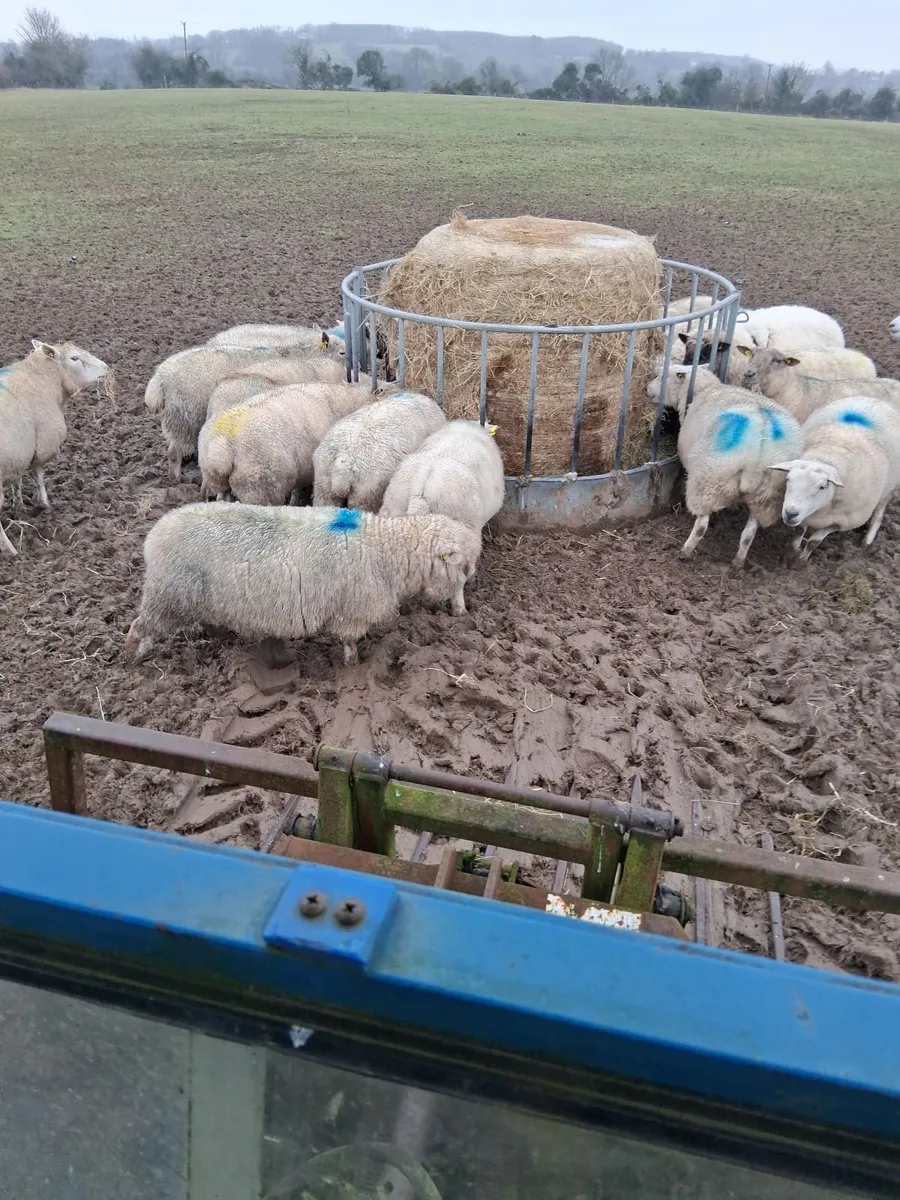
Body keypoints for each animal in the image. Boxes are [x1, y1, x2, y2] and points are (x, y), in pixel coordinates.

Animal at [0, 339, 108, 557]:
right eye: (74, 358)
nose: (107, 369)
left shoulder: (19, 452)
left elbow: (18, 479)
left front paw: (18, 505)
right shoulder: (43, 444)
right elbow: (39, 475)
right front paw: (44, 504)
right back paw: (11, 551)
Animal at [124, 503, 482, 665]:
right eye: (463, 568)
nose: (463, 614)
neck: (385, 548)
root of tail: (154, 537)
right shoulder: (350, 612)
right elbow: (349, 642)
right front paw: (352, 665)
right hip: (169, 595)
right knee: (141, 626)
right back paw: (136, 656)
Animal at [670, 371, 803, 566]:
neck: (707, 388)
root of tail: (756, 463)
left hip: (709, 481)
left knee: (701, 526)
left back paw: (685, 551)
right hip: (767, 498)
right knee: (749, 534)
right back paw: (738, 562)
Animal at [771, 397, 900, 560]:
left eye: (822, 486)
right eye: (788, 479)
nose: (790, 513)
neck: (828, 455)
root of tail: (876, 400)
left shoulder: (843, 521)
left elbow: (814, 542)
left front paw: (801, 561)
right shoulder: (805, 515)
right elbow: (799, 533)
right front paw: (792, 553)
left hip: (890, 486)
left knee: (879, 510)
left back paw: (868, 540)